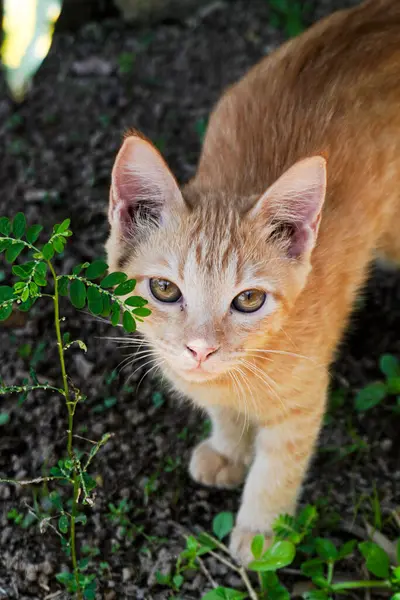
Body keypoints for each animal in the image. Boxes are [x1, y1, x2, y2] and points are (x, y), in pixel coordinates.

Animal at [105, 0, 400, 564]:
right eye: (165, 290)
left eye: (249, 300)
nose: (200, 349)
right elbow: (223, 411)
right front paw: (228, 448)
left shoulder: (305, 398)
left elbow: (279, 464)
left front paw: (262, 531)